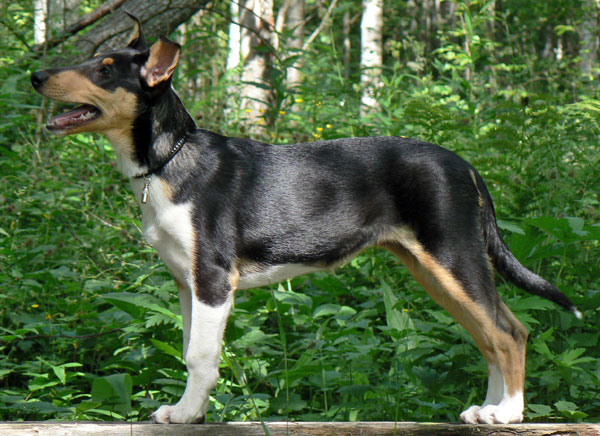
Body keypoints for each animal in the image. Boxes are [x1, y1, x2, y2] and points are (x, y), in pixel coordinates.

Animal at [31, 12, 580, 425]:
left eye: (105, 70)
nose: (36, 76)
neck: (167, 161)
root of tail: (467, 166)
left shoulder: (213, 279)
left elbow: (200, 356)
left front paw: (187, 415)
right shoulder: (187, 284)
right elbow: (190, 350)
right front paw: (190, 412)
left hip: (454, 257)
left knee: (509, 333)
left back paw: (508, 414)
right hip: (434, 270)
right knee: (489, 335)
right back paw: (487, 410)